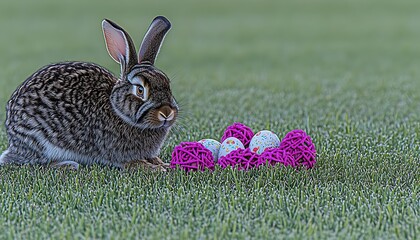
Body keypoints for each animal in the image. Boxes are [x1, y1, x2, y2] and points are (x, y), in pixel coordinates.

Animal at [0, 15, 178, 170]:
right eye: (140, 90)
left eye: (168, 84)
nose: (166, 112)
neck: (118, 110)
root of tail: (12, 135)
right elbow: (131, 163)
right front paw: (154, 168)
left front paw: (162, 163)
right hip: (41, 142)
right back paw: (67, 165)